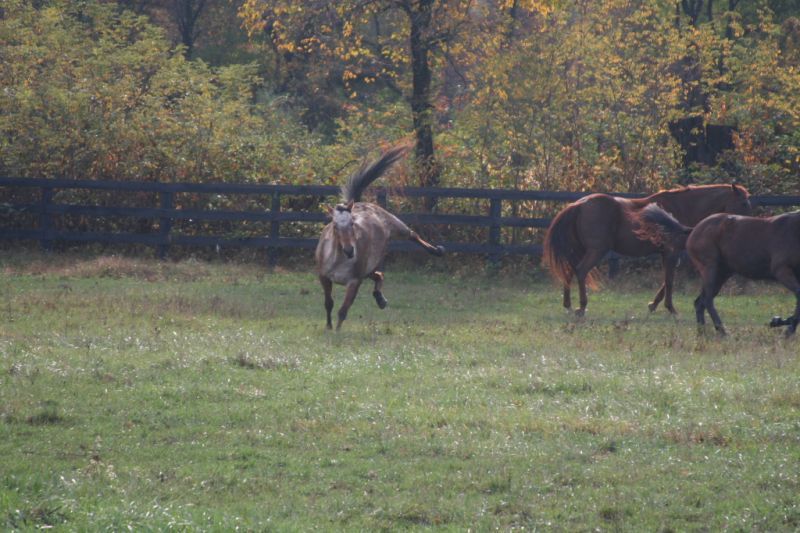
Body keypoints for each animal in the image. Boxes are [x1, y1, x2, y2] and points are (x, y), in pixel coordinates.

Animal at [315, 145, 445, 330]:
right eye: (334, 225)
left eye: (352, 223)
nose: (349, 251)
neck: (339, 260)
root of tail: (360, 203)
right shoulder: (324, 278)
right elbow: (329, 303)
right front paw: (329, 327)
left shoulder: (354, 282)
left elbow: (343, 310)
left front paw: (337, 331)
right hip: (369, 269)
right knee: (379, 275)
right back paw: (380, 300)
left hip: (396, 226)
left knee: (413, 235)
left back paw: (437, 251)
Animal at [542, 184, 751, 317]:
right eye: (743, 203)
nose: (747, 223)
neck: (681, 207)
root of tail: (579, 204)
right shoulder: (671, 252)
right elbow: (669, 281)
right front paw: (670, 308)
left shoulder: (668, 254)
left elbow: (666, 281)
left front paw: (653, 305)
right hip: (596, 251)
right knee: (581, 271)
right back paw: (582, 307)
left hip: (579, 250)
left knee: (569, 271)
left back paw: (568, 305)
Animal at [637, 204, 800, 336]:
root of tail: (694, 229)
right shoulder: (781, 270)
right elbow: (799, 294)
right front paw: (783, 326)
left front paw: (781, 323)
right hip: (711, 269)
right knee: (707, 300)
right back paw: (722, 331)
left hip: (722, 274)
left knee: (699, 302)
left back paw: (702, 332)